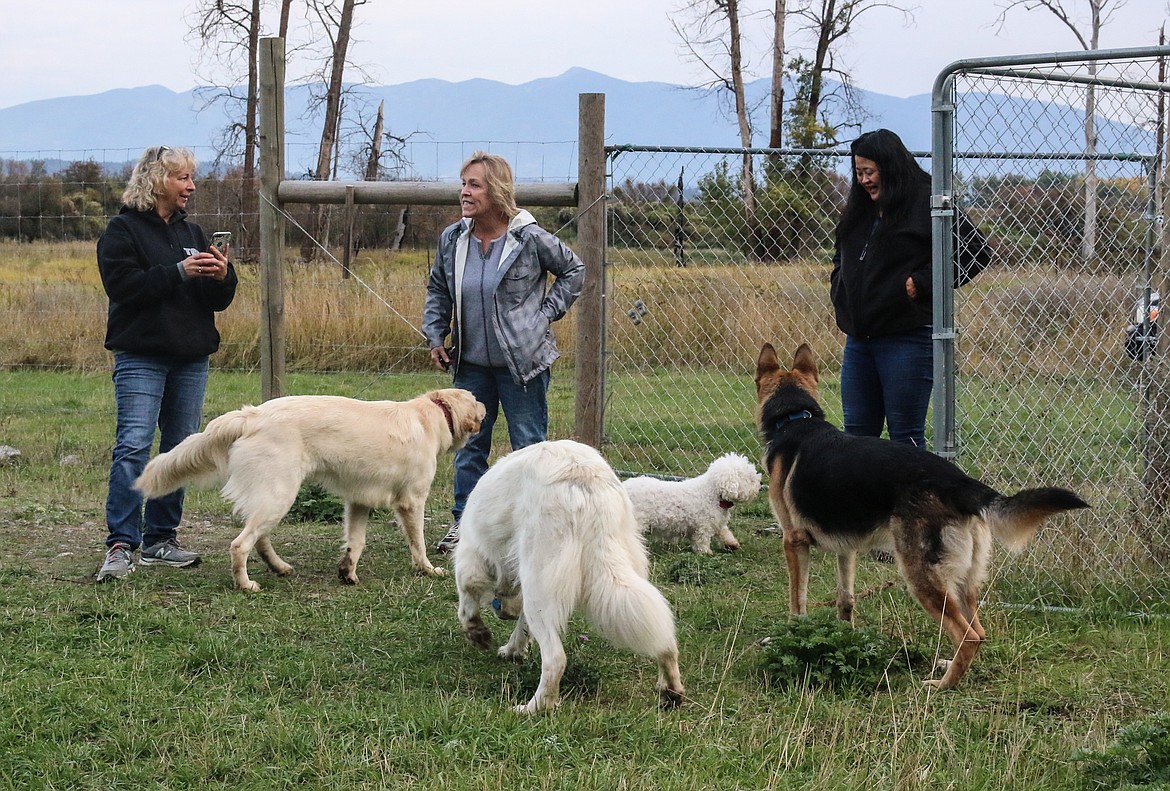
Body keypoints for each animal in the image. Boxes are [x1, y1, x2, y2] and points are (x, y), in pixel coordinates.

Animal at [449, 437, 683, 716]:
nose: (503, 613)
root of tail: (584, 480)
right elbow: (522, 626)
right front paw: (512, 650)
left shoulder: (471, 556)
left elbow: (466, 601)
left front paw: (478, 633)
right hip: (622, 569)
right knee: (663, 636)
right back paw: (671, 689)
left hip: (539, 583)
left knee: (555, 660)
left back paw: (534, 707)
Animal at [627, 451, 762, 556]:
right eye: (750, 478)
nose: (760, 484)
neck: (713, 493)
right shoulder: (704, 526)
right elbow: (702, 540)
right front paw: (706, 552)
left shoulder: (717, 522)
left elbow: (724, 532)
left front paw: (732, 544)